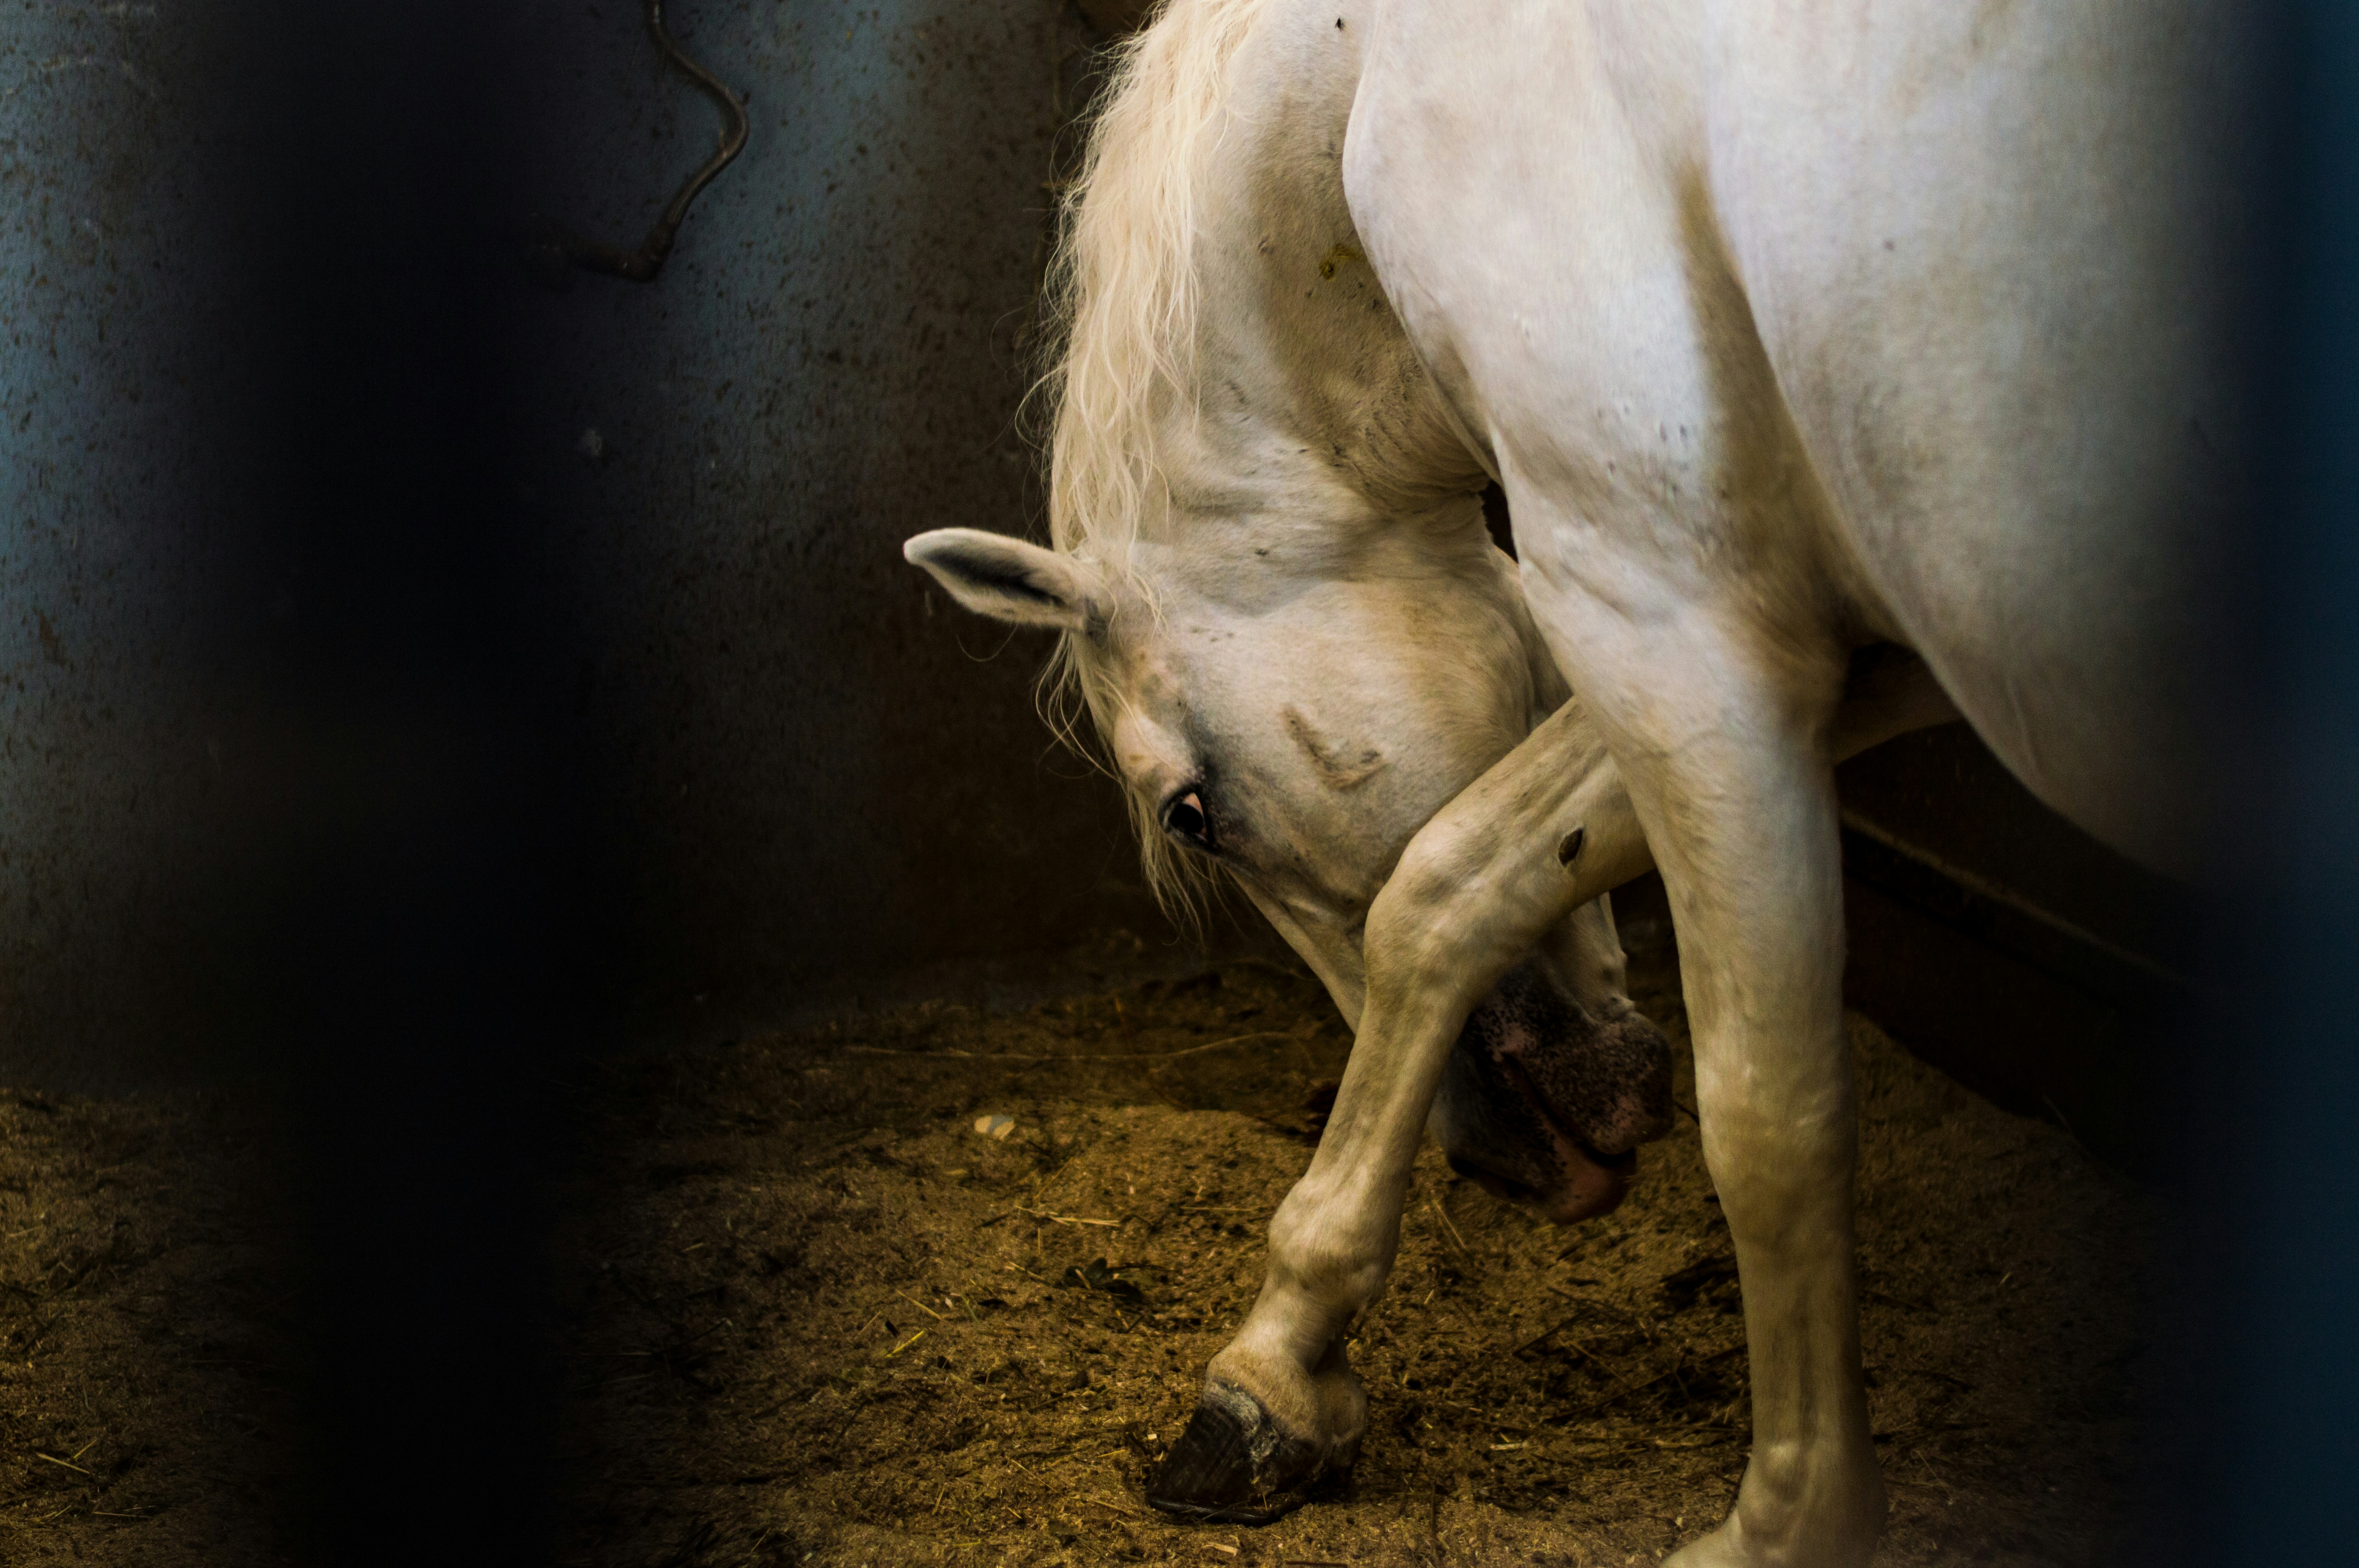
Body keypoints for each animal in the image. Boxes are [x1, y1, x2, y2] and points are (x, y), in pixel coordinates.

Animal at [903, 1, 2247, 1560]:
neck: (1382, 85)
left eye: (1190, 808)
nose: (1509, 1160)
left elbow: (1770, 1116)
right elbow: (1454, 885)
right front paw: (1272, 1375)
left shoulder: (1665, 621)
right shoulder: (1818, 639)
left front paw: (1787, 1525)